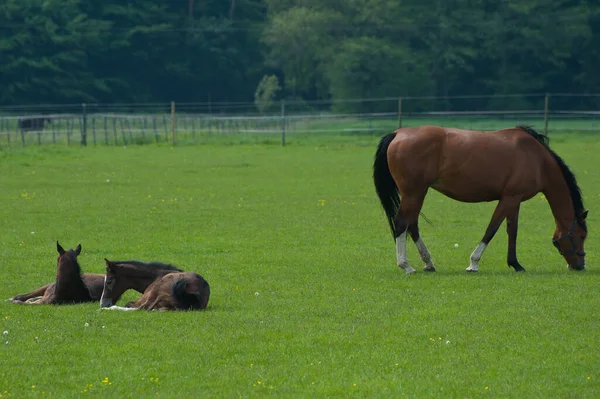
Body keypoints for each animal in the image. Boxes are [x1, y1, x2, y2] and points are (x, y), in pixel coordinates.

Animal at [372, 126, 588, 276]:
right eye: (582, 236)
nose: (580, 266)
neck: (537, 159)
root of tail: (398, 133)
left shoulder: (514, 199)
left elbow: (512, 231)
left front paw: (515, 264)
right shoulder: (509, 198)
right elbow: (492, 229)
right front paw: (473, 263)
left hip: (417, 193)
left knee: (412, 224)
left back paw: (428, 263)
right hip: (414, 193)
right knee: (402, 223)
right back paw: (406, 266)